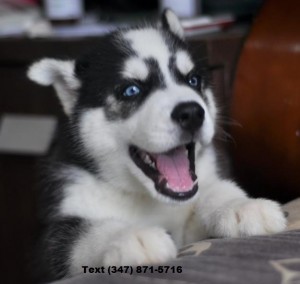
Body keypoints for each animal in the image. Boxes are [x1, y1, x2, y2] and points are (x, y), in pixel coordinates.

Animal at [27, 9, 286, 282]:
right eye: (131, 90)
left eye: (193, 80)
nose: (192, 113)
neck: (147, 197)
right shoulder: (49, 246)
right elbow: (81, 233)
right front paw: (131, 236)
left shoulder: (188, 226)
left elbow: (214, 191)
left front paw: (238, 205)